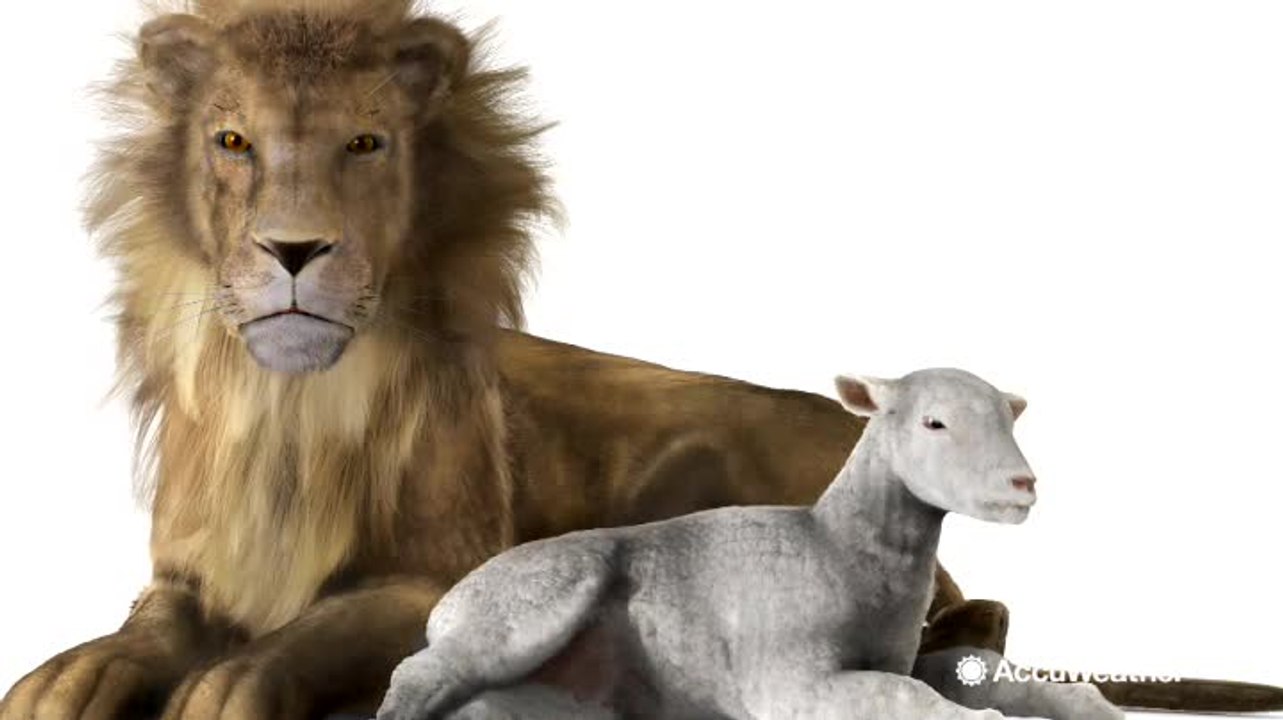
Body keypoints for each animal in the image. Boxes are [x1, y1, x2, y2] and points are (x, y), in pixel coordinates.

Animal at [1, 1, 1278, 718]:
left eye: (365, 142)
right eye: (232, 140)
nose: (294, 249)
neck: (289, 414)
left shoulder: (431, 571)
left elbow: (318, 629)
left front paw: (232, 685)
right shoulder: (190, 572)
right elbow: (145, 625)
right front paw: (70, 676)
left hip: (690, 458)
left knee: (991, 612)